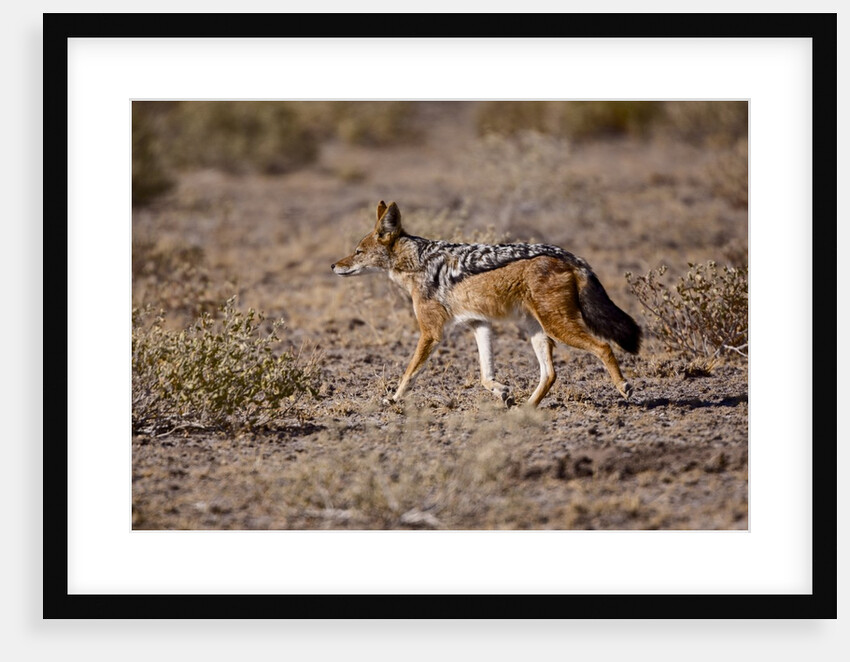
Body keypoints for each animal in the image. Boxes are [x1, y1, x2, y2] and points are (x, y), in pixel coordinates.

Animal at [332, 201, 641, 408]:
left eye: (357, 251)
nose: (333, 265)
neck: (418, 262)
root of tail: (571, 256)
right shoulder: (479, 324)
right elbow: (484, 373)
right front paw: (501, 392)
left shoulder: (432, 333)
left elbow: (409, 373)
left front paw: (393, 399)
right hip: (538, 330)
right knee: (550, 373)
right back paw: (527, 408)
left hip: (558, 327)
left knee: (603, 346)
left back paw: (623, 387)